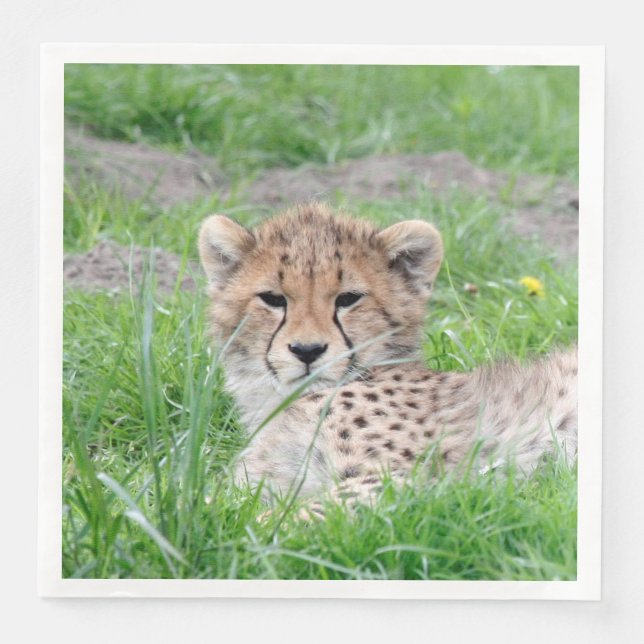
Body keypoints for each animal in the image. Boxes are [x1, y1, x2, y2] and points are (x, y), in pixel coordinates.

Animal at [198, 202, 577, 510]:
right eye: (273, 299)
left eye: (348, 298)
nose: (307, 351)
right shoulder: (259, 483)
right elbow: (208, 506)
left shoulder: (410, 479)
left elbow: (286, 518)